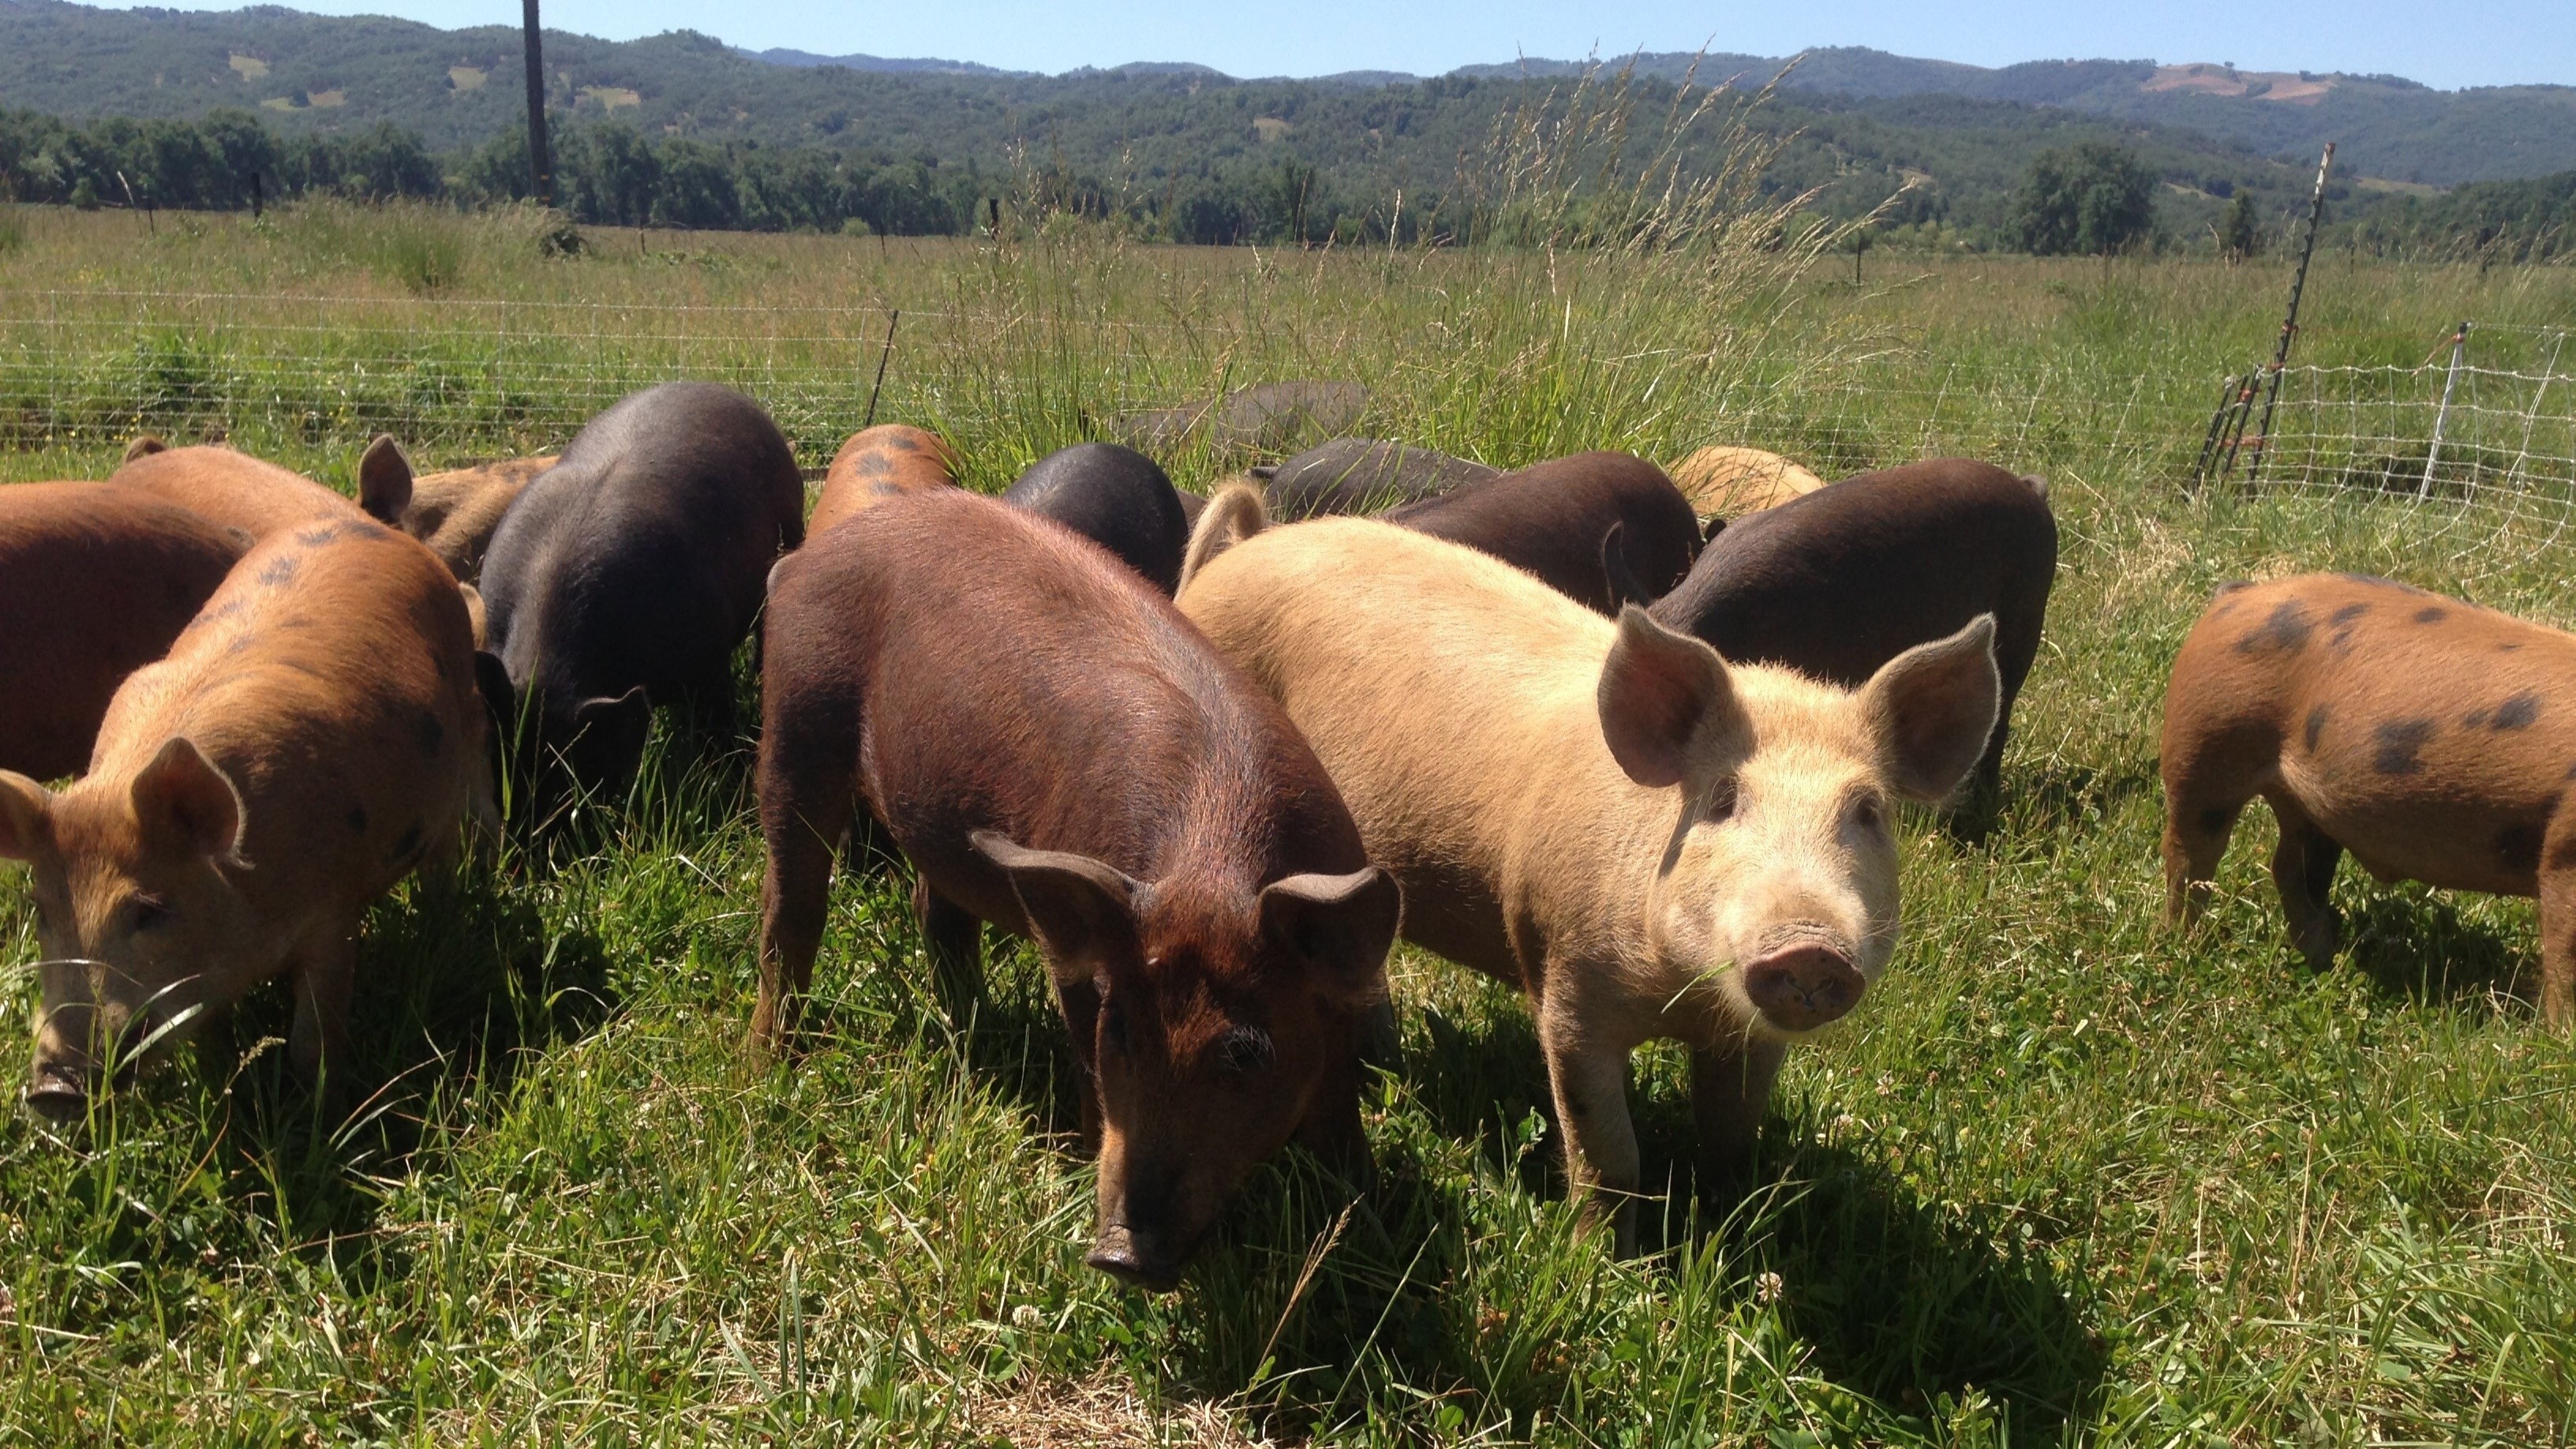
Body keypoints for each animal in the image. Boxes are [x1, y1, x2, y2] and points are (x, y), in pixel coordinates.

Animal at [0, 517, 493, 1119]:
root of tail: (368, 525)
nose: (54, 1088)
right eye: (40, 911)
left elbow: (313, 1040)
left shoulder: (334, 910)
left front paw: (322, 1114)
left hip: (468, 719)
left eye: (149, 910)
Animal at [477, 383, 804, 810]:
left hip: (793, 526)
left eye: (584, 764)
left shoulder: (709, 658)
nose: (528, 823)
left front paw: (726, 784)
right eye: (502, 757)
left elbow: (717, 723)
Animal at [751, 487, 1400, 1288]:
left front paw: (1370, 1213)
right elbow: (1091, 1075)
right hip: (796, 716)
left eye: (1246, 1052)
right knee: (792, 909)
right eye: (1120, 1029)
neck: (1212, 859)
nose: (1119, 1254)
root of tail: (805, 559)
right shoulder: (1080, 969)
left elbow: (1340, 1107)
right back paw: (767, 1067)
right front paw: (1076, 1158)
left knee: (935, 909)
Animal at [1178, 493, 1999, 1249]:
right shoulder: (1565, 981)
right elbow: (1608, 1155)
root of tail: (1242, 550)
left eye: (1868, 812)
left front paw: (1729, 1218)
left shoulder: (1747, 1035)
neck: (1680, 997)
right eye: (1722, 800)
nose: (1810, 944)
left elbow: (1734, 1134)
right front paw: (1610, 1265)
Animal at [2162, 573, 2576, 1026]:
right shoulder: (2565, 850)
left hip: (2303, 803)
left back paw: (2321, 956)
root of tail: (2237, 596)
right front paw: (2557, 1036)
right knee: (2188, 853)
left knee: (2291, 867)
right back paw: (2187, 944)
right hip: (2203, 745)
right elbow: (2566, 954)